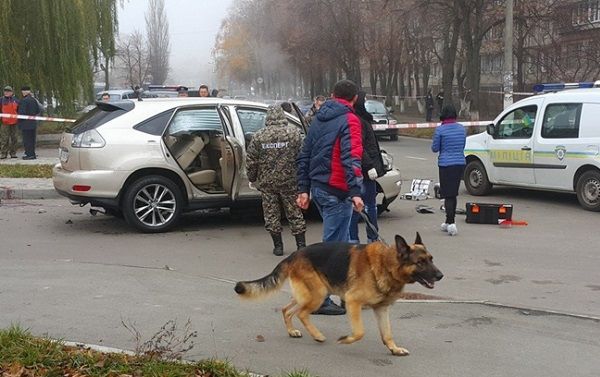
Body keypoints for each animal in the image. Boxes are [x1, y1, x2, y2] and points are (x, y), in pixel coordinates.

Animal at [237, 232, 442, 356]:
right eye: (420, 262)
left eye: (431, 259)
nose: (441, 275)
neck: (387, 264)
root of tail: (294, 254)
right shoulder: (353, 302)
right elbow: (359, 332)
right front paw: (346, 340)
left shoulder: (382, 309)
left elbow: (387, 333)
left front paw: (394, 349)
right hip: (317, 295)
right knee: (301, 313)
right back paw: (317, 335)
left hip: (307, 295)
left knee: (286, 310)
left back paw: (292, 331)